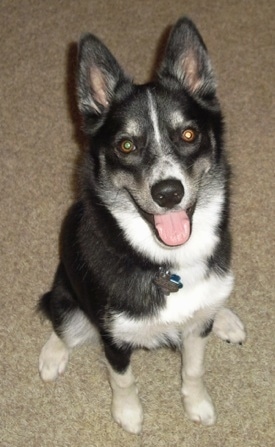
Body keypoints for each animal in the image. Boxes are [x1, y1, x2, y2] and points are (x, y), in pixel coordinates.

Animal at [38, 16, 246, 434]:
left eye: (189, 134)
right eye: (126, 145)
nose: (168, 193)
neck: (167, 264)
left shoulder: (195, 331)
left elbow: (194, 369)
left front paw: (197, 404)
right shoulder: (114, 339)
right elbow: (123, 379)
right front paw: (128, 414)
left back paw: (224, 317)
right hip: (67, 292)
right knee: (61, 318)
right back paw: (52, 355)